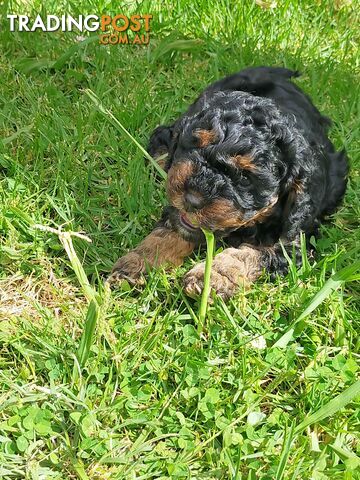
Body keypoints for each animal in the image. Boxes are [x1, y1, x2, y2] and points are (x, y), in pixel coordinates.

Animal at [107, 65, 348, 298]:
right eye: (195, 144)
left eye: (245, 177)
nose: (192, 199)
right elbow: (170, 229)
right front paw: (137, 262)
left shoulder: (296, 241)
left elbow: (253, 254)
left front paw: (214, 276)